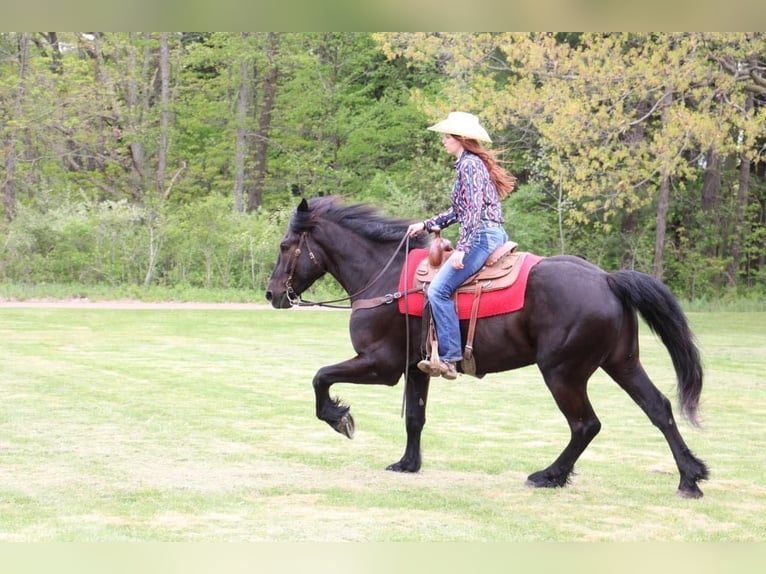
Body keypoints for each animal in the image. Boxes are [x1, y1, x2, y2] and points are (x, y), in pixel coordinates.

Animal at [268, 198, 712, 500]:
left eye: (286, 245)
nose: (272, 294)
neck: (385, 276)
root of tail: (607, 279)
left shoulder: (381, 364)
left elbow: (321, 377)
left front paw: (338, 417)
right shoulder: (416, 367)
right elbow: (415, 418)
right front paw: (408, 464)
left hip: (563, 373)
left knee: (586, 425)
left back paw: (549, 475)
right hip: (622, 363)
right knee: (659, 409)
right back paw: (690, 477)